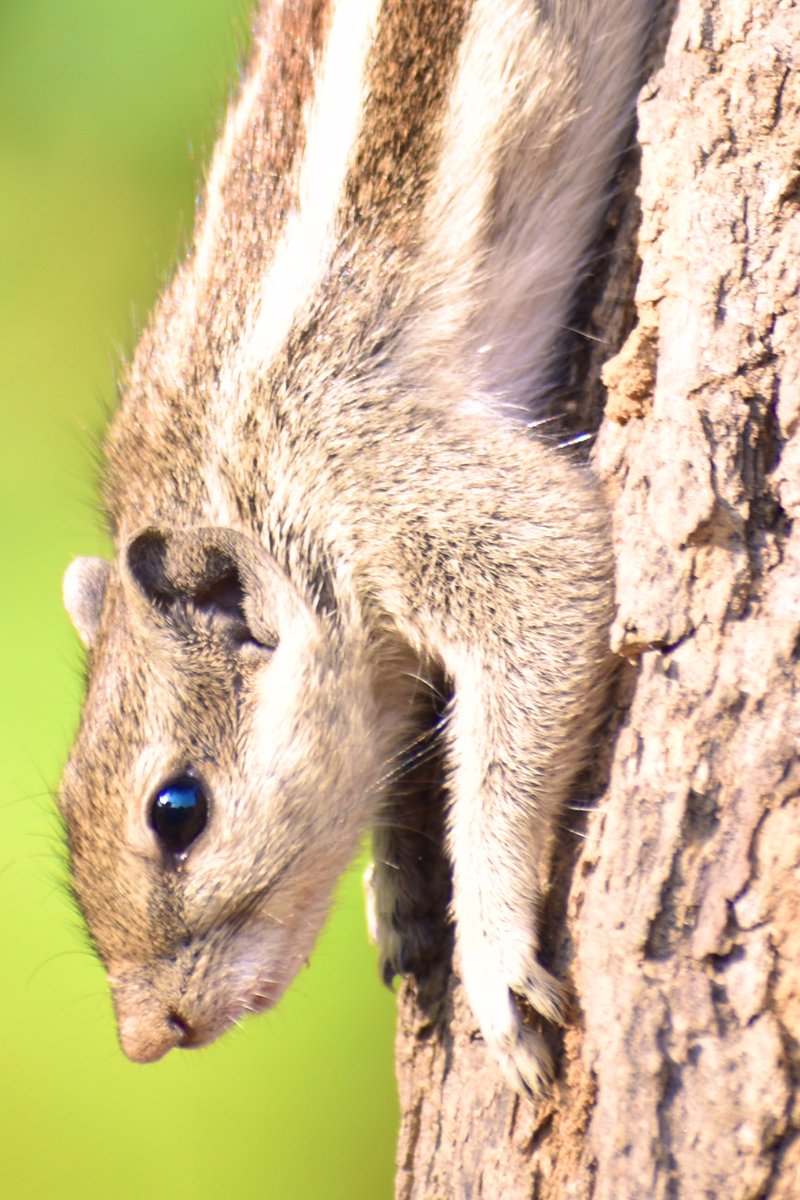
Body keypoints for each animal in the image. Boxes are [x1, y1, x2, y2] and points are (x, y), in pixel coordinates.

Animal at [60, 0, 650, 1096]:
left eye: (176, 809)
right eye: (66, 799)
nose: (146, 1036)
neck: (221, 485)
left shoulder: (389, 480)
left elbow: (547, 591)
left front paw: (492, 948)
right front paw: (400, 881)